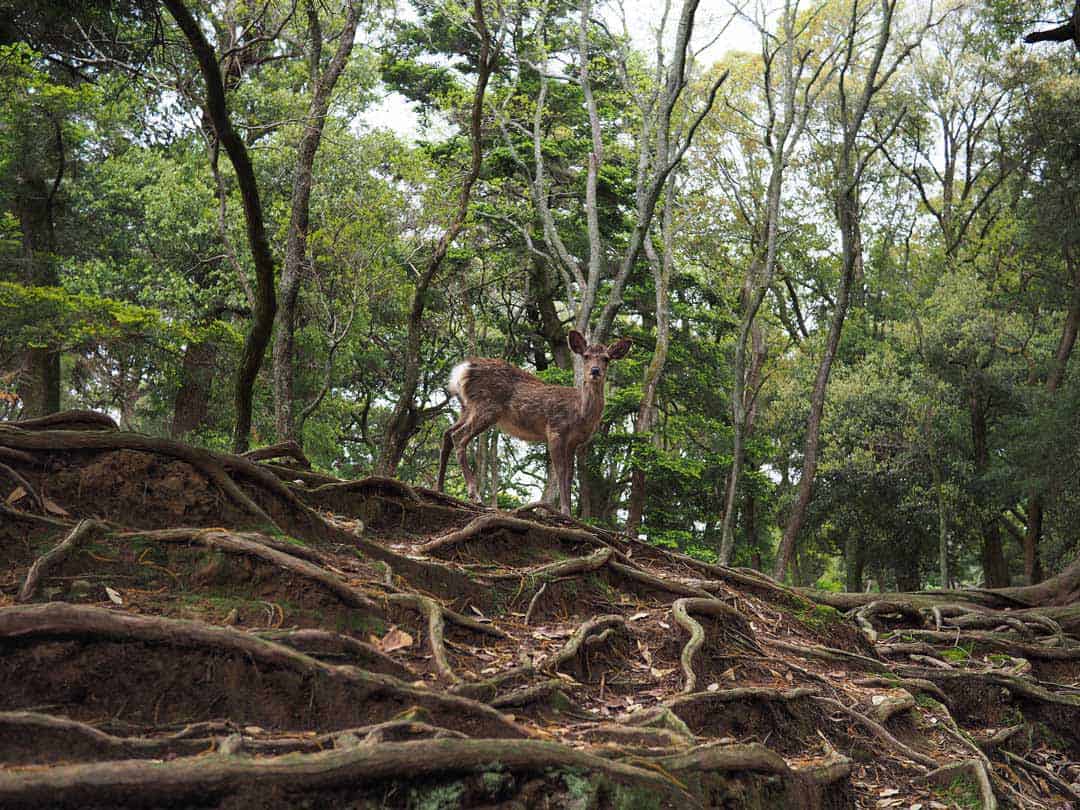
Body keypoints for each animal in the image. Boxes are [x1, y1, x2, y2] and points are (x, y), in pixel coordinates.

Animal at [436, 330, 630, 514]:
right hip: (487, 407)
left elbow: (570, 475)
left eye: (606, 358)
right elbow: (560, 472)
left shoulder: (574, 442)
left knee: (447, 433)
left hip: (467, 407)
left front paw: (568, 511)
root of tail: (462, 370)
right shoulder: (555, 430)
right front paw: (565, 511)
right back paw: (474, 496)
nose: (595, 371)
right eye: (586, 356)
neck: (579, 412)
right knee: (458, 436)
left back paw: (440, 489)